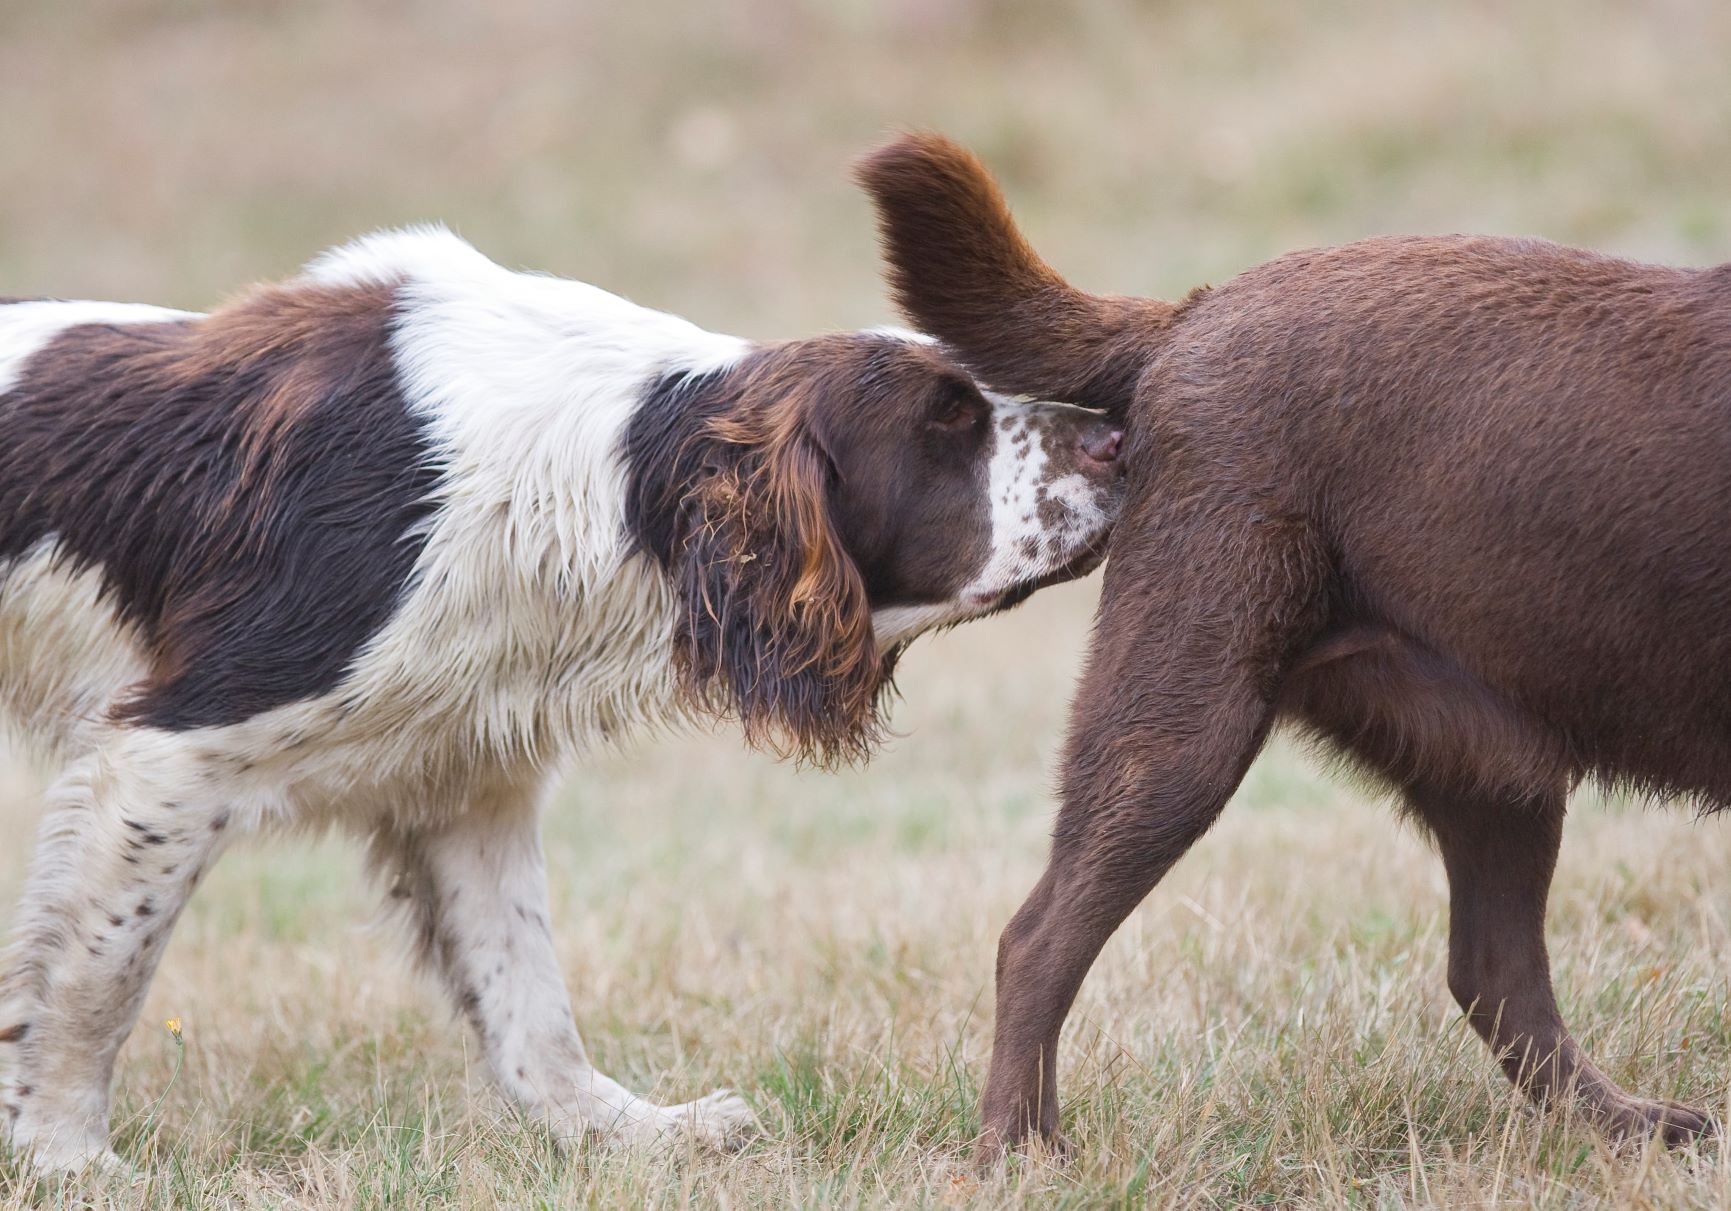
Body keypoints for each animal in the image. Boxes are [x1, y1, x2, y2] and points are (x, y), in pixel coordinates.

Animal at [0, 224, 1121, 1162]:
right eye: (947, 420)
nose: (1118, 436)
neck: (597, 477)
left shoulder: (462, 778)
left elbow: (529, 1004)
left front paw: (632, 1133)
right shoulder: (171, 751)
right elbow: (95, 982)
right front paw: (65, 1155)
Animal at [855, 132, 1731, 1155]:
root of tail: (1194, 313)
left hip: (1493, 766)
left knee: (1492, 970)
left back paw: (1625, 1125)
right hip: (1180, 717)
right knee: (1037, 939)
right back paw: (1017, 1152)